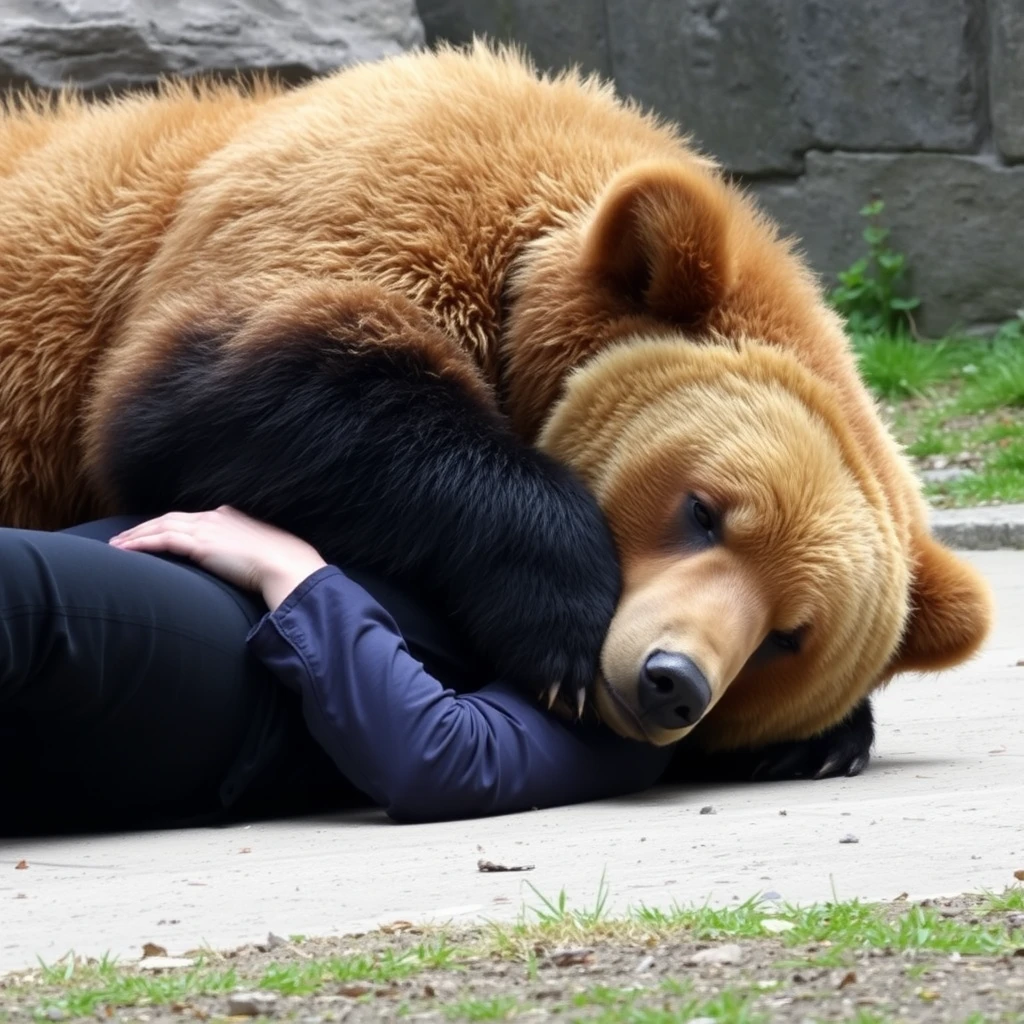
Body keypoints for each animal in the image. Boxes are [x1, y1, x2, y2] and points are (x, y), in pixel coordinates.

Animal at [0, 37, 991, 774]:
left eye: (790, 637)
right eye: (703, 510)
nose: (673, 680)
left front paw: (825, 737)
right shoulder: (354, 197)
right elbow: (208, 401)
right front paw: (561, 622)